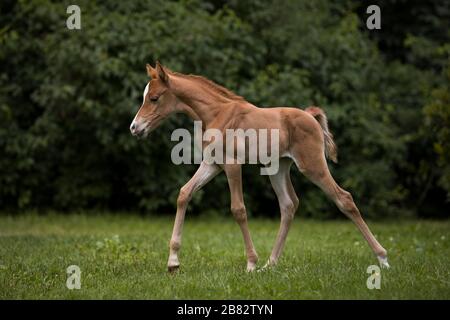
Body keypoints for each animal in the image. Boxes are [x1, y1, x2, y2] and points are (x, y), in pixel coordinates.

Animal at [130, 61, 390, 272]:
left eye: (154, 98)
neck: (216, 114)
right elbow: (184, 193)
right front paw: (173, 262)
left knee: (343, 198)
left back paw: (383, 259)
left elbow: (238, 209)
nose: (134, 128)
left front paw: (251, 263)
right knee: (288, 205)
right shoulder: (212, 164)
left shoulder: (232, 165)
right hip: (278, 168)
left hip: (312, 165)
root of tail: (309, 116)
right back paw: (270, 264)